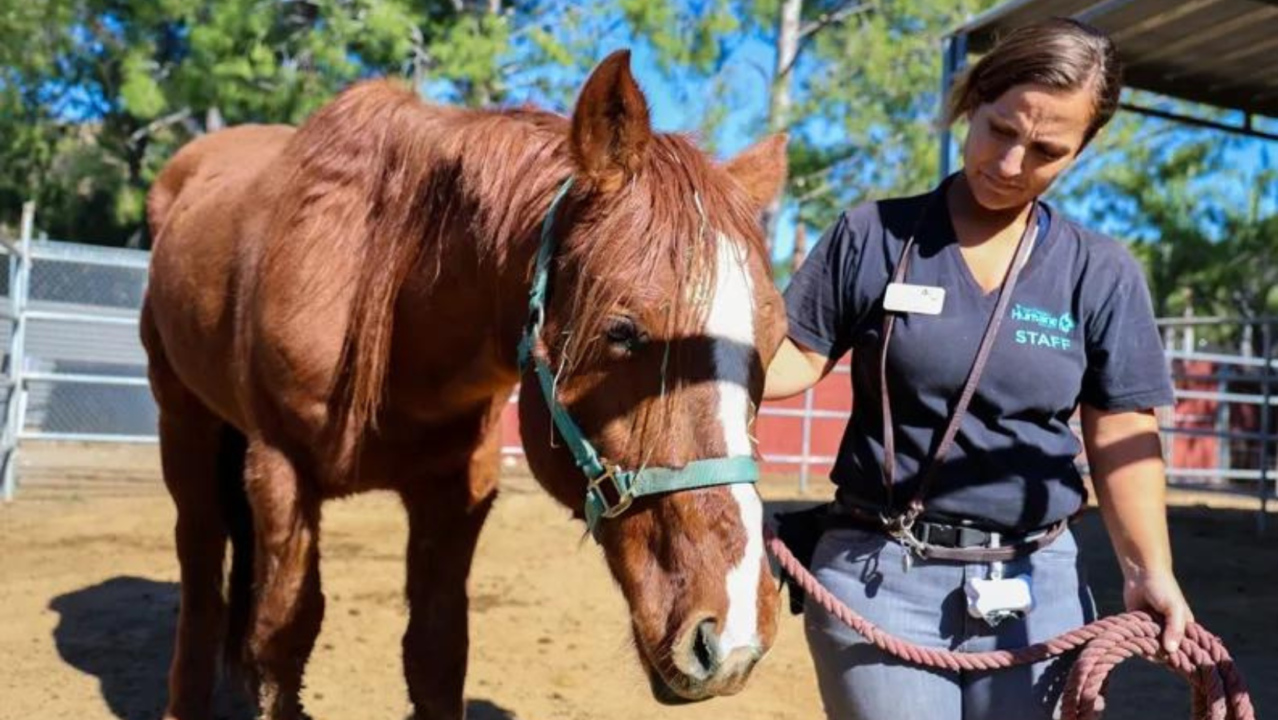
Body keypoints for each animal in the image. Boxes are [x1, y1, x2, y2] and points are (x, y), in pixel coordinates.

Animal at [141, 49, 788, 720]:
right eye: (622, 331)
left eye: (772, 342)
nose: (733, 636)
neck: (387, 295)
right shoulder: (280, 471)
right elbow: (283, 636)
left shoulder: (456, 491)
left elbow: (435, 652)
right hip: (183, 423)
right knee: (200, 570)